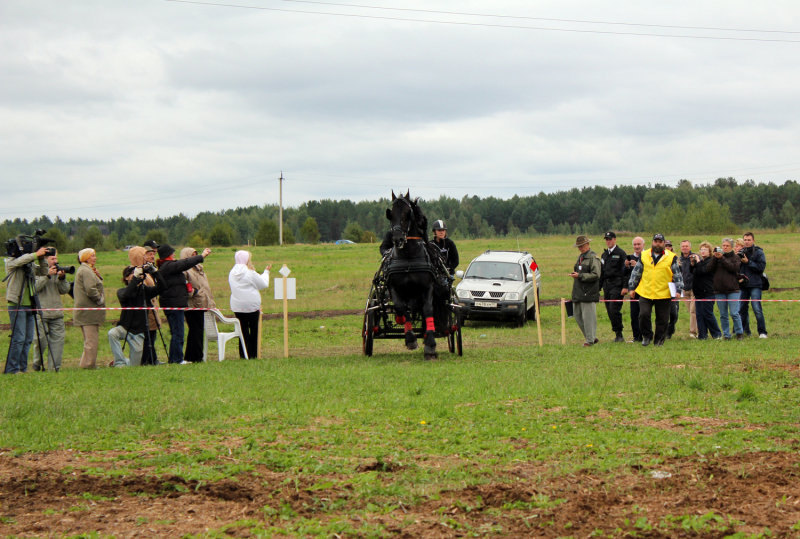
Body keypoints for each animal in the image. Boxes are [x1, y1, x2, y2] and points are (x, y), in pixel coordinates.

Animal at [382, 192, 438, 360]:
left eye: (408, 213)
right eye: (391, 214)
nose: (398, 239)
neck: (408, 258)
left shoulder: (427, 287)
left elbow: (428, 309)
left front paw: (430, 344)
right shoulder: (394, 287)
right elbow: (401, 308)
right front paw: (410, 339)